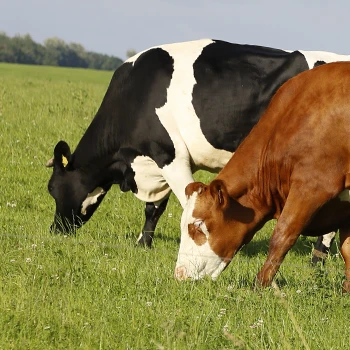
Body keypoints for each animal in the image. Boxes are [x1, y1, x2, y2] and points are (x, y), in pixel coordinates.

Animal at [46, 39, 348, 262]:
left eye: (52, 189)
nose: (55, 230)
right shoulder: (159, 162)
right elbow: (154, 209)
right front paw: (143, 244)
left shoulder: (169, 155)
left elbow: (186, 205)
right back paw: (318, 260)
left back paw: (318, 259)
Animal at [175, 61, 350, 292]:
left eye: (198, 224)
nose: (179, 274)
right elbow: (348, 249)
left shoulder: (311, 186)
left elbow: (282, 235)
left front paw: (261, 285)